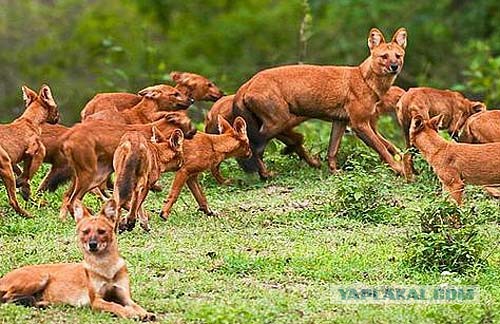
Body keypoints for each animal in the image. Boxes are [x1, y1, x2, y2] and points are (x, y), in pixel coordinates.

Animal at [0, 85, 59, 218]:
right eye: (57, 108)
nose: (58, 118)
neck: (29, 120)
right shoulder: (37, 152)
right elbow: (28, 173)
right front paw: (23, 187)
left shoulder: (13, 161)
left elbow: (23, 171)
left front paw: (26, 190)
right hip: (5, 164)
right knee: (12, 200)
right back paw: (27, 214)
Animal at [0, 200, 155, 322]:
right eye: (85, 232)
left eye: (101, 231)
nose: (92, 244)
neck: (105, 267)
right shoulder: (96, 300)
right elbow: (115, 305)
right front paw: (130, 313)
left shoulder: (125, 296)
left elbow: (136, 305)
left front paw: (145, 313)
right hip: (41, 277)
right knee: (6, 297)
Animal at [59, 112, 196, 220]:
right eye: (190, 123)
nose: (195, 131)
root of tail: (69, 135)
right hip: (89, 175)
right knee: (73, 200)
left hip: (90, 176)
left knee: (67, 195)